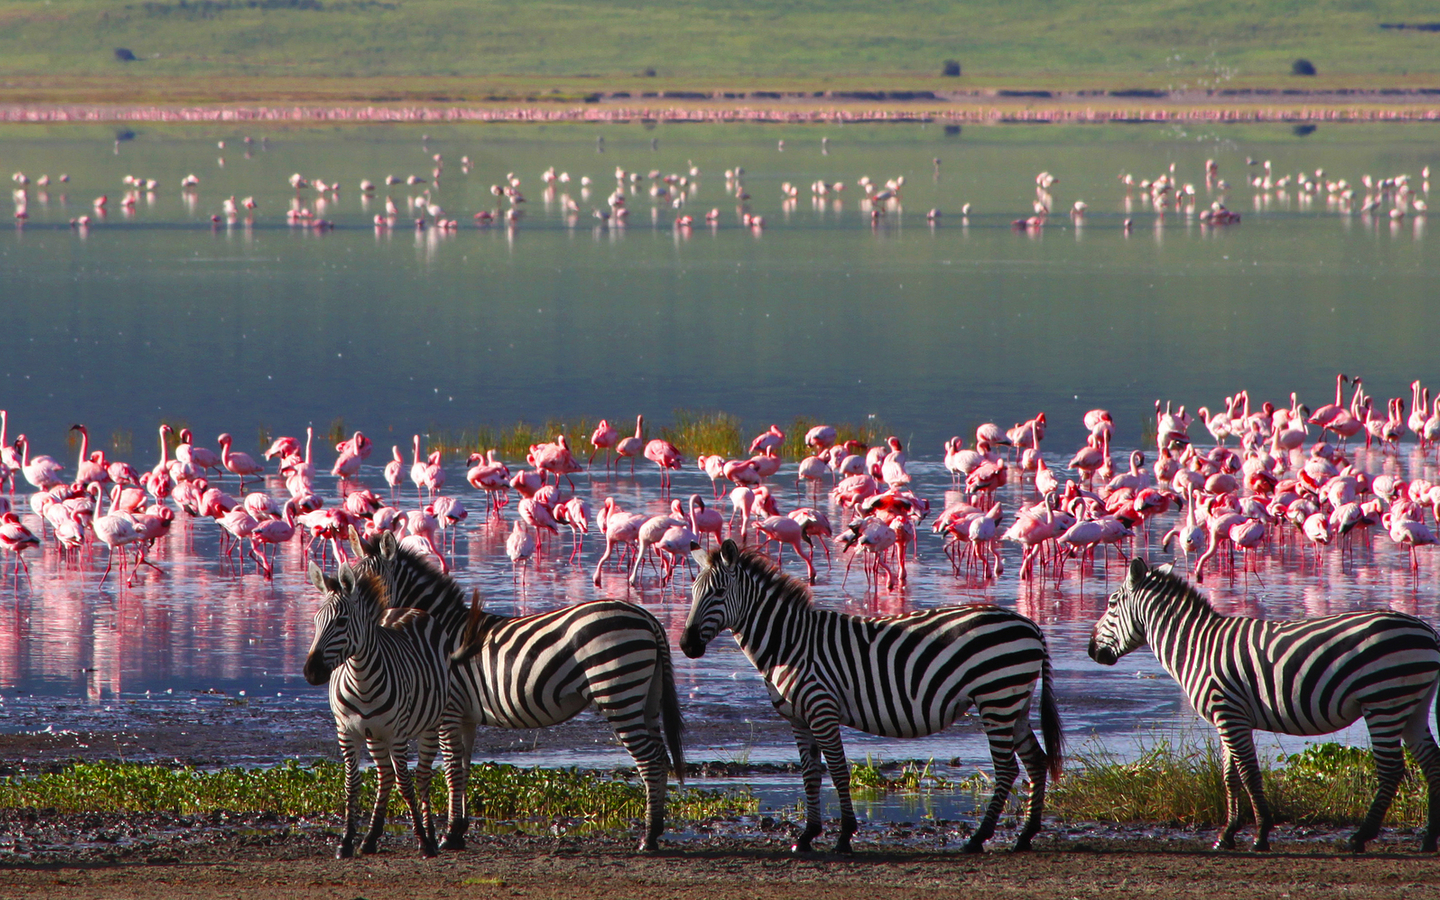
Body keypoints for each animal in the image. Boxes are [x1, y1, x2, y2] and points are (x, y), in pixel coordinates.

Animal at [303, 561, 449, 859]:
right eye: (315, 621)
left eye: (341, 622)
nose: (311, 672)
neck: (361, 679)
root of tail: (406, 609)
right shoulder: (346, 731)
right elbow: (352, 783)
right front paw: (346, 841)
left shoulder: (397, 734)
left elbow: (406, 783)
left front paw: (423, 840)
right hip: (374, 735)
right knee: (385, 776)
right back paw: (370, 838)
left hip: (430, 725)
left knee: (422, 776)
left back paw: (430, 834)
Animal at [345, 529, 685, 852]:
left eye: (368, 586)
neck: (437, 633)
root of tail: (647, 618)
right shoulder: (465, 715)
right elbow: (464, 767)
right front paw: (459, 831)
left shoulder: (448, 711)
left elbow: (451, 769)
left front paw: (449, 835)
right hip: (646, 696)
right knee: (660, 756)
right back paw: (654, 831)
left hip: (618, 692)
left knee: (649, 759)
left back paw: (648, 838)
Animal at [681, 539, 1062, 855]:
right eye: (693, 592)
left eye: (717, 592)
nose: (686, 645)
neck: (788, 644)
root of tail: (1030, 625)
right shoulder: (798, 718)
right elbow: (810, 774)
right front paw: (807, 836)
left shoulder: (822, 709)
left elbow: (837, 771)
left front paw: (844, 836)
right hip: (1015, 702)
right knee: (1036, 761)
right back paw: (1025, 836)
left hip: (996, 698)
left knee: (1007, 768)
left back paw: (978, 838)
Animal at [1089, 557, 1440, 853]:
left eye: (1111, 603)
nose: (1091, 650)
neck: (1196, 646)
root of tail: (1427, 631)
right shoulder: (1227, 718)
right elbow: (1229, 776)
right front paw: (1227, 834)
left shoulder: (1229, 713)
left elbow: (1248, 774)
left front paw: (1260, 835)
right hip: (1412, 705)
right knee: (1431, 762)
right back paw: (1428, 840)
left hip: (1383, 700)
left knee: (1391, 769)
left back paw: (1360, 837)